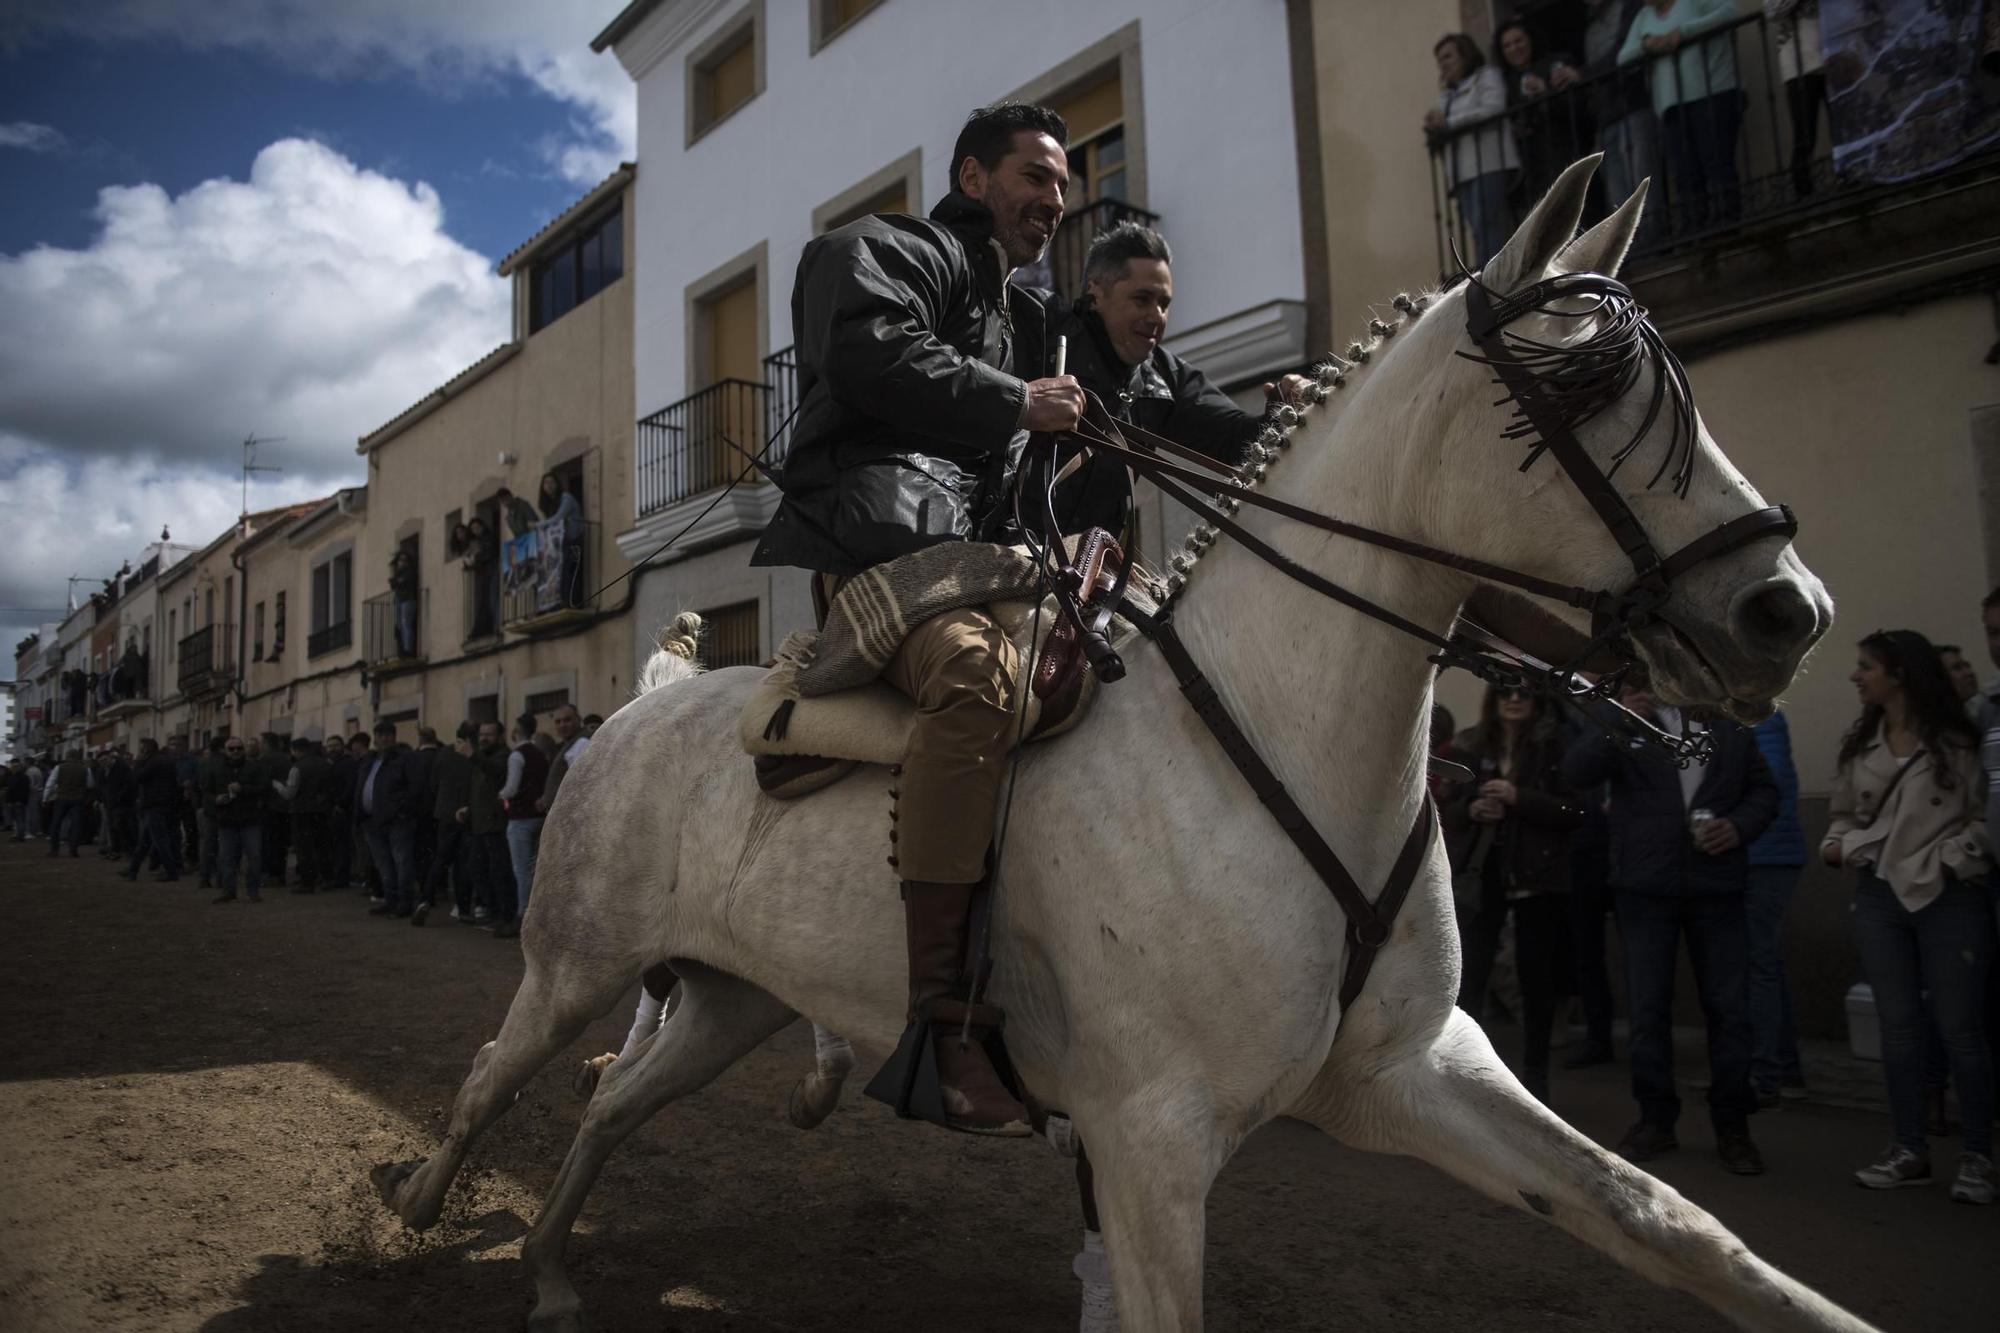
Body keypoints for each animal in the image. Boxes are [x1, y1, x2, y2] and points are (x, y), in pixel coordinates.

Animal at [376, 163, 1856, 1328]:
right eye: (1587, 382)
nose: (1785, 612)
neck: (1278, 735)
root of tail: (645, 697)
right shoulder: (1153, 1141)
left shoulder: (1414, 1072)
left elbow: (1668, 1222)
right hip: (575, 962)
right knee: (493, 1080)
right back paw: (416, 1211)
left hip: (730, 998)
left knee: (613, 1098)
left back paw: (552, 1274)